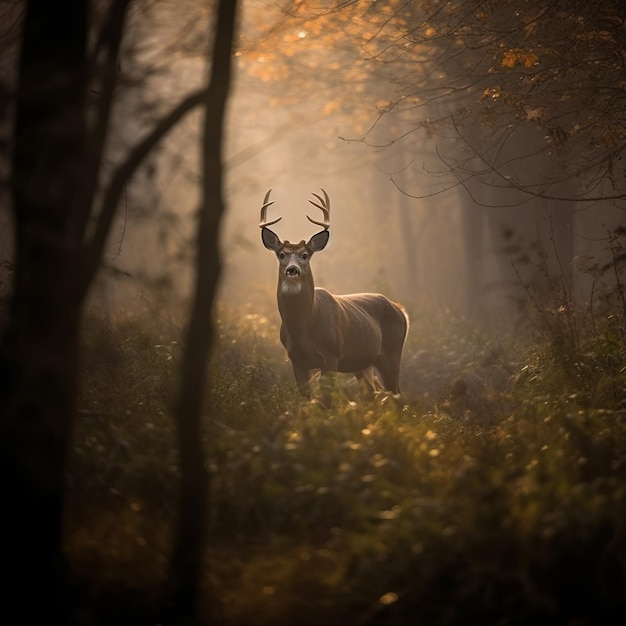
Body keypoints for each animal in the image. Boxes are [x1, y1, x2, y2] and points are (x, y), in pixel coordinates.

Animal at [258, 188, 410, 398]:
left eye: (305, 255)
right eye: (281, 255)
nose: (292, 269)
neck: (302, 330)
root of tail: (400, 309)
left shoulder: (332, 354)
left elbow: (327, 399)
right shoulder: (296, 360)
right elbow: (307, 400)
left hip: (392, 352)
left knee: (397, 394)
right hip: (363, 364)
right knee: (374, 394)